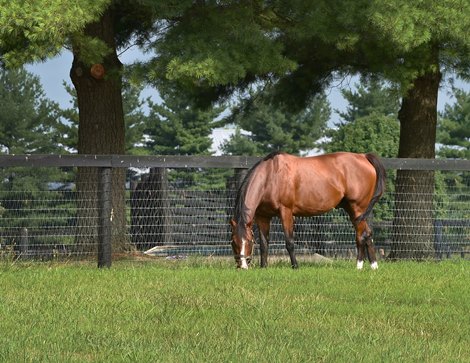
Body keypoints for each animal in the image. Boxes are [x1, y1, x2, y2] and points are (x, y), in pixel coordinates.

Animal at [229, 151, 388, 270]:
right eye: (233, 242)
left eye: (248, 241)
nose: (242, 266)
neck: (271, 176)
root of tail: (363, 156)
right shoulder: (263, 216)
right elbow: (264, 243)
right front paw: (264, 267)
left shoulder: (286, 212)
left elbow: (289, 242)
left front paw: (295, 266)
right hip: (352, 210)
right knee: (367, 234)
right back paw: (373, 266)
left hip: (358, 208)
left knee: (362, 235)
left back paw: (359, 266)